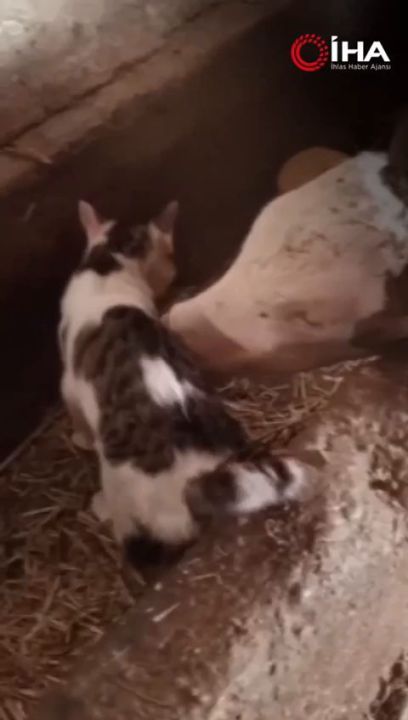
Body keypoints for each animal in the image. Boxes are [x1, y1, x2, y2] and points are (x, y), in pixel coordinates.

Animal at [59, 200, 311, 567]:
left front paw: (80, 439)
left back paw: (102, 507)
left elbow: (75, 413)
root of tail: (197, 479)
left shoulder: (69, 382)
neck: (112, 264)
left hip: (120, 481)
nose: (172, 278)